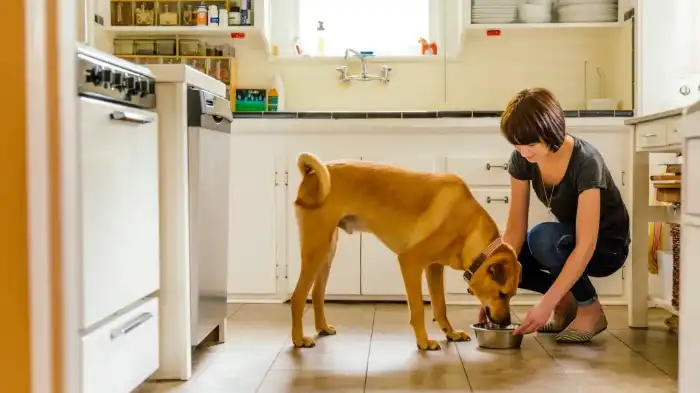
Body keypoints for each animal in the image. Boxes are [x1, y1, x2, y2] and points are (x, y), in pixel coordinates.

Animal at [288, 152, 524, 350]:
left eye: (512, 295)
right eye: (502, 294)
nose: (505, 323)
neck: (468, 230)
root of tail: (311, 173)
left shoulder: (434, 268)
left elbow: (440, 306)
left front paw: (450, 333)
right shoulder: (410, 263)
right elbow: (418, 308)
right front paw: (424, 342)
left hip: (328, 250)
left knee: (317, 293)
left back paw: (322, 328)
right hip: (316, 249)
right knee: (298, 296)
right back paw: (299, 339)